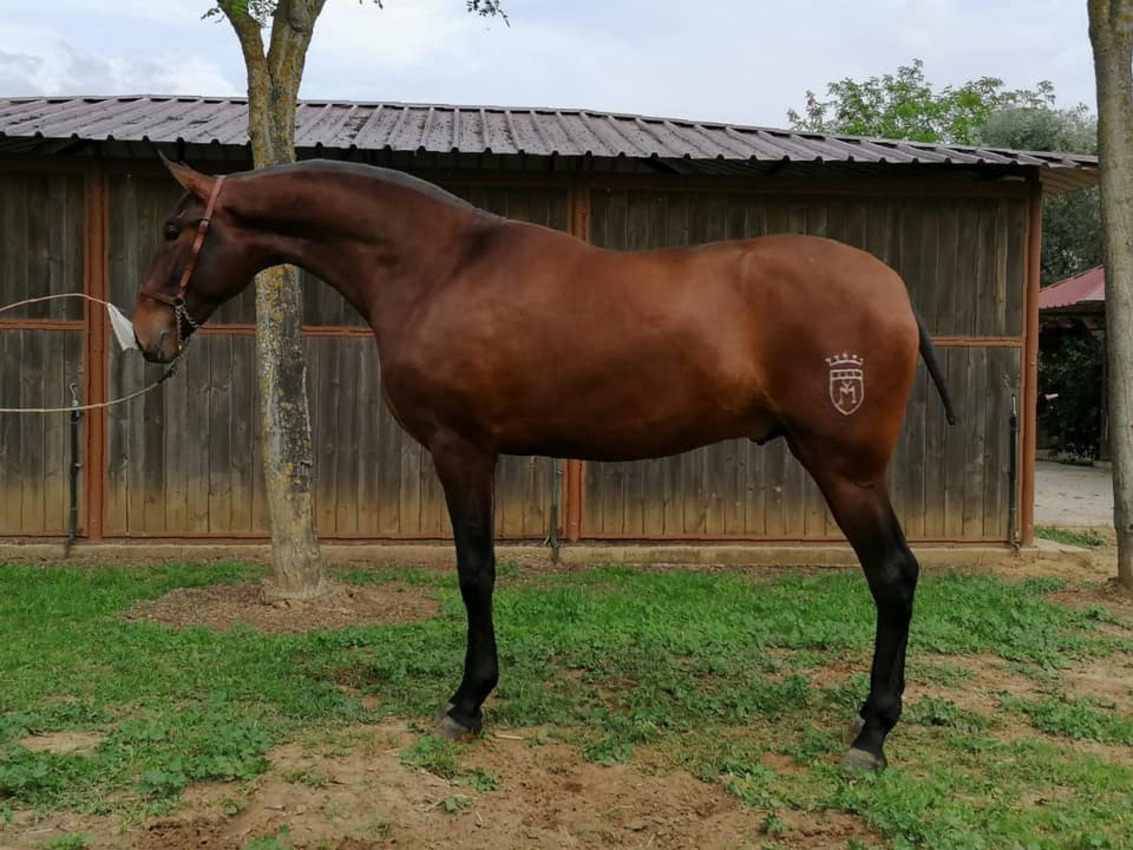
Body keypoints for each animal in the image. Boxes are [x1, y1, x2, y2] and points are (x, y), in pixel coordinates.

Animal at [137, 156, 960, 775]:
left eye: (175, 229)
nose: (146, 334)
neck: (438, 269)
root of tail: (893, 289)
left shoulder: (461, 449)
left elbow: (476, 572)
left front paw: (466, 704)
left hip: (845, 469)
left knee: (893, 576)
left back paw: (872, 735)